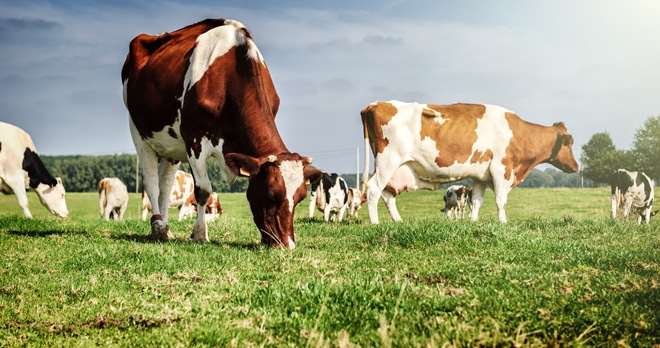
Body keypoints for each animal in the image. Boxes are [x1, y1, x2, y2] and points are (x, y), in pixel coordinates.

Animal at [122, 19, 324, 247]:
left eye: (300, 197)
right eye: (271, 193)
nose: (287, 245)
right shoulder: (194, 140)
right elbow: (203, 190)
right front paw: (200, 234)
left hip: (171, 144)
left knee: (165, 185)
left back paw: (166, 229)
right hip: (138, 131)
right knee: (151, 182)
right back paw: (157, 227)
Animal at [360, 100, 576, 223]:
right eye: (570, 143)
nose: (576, 166)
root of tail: (375, 104)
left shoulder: (481, 176)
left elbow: (477, 202)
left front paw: (473, 222)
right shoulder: (501, 169)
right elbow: (501, 201)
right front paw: (503, 223)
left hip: (395, 167)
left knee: (387, 194)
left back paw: (398, 221)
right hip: (387, 161)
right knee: (373, 190)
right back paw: (375, 223)